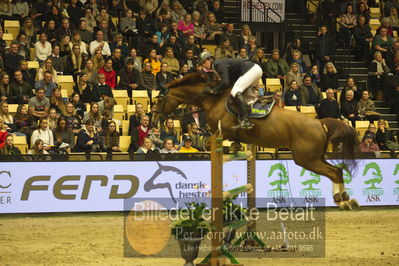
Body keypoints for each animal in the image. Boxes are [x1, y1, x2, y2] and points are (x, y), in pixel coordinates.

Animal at [152, 72, 360, 210]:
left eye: (160, 99)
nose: (155, 119)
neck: (213, 99)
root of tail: (319, 122)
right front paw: (235, 146)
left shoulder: (220, 132)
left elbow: (209, 143)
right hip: (316, 157)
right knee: (337, 170)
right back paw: (346, 198)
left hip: (306, 159)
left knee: (333, 172)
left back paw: (341, 200)